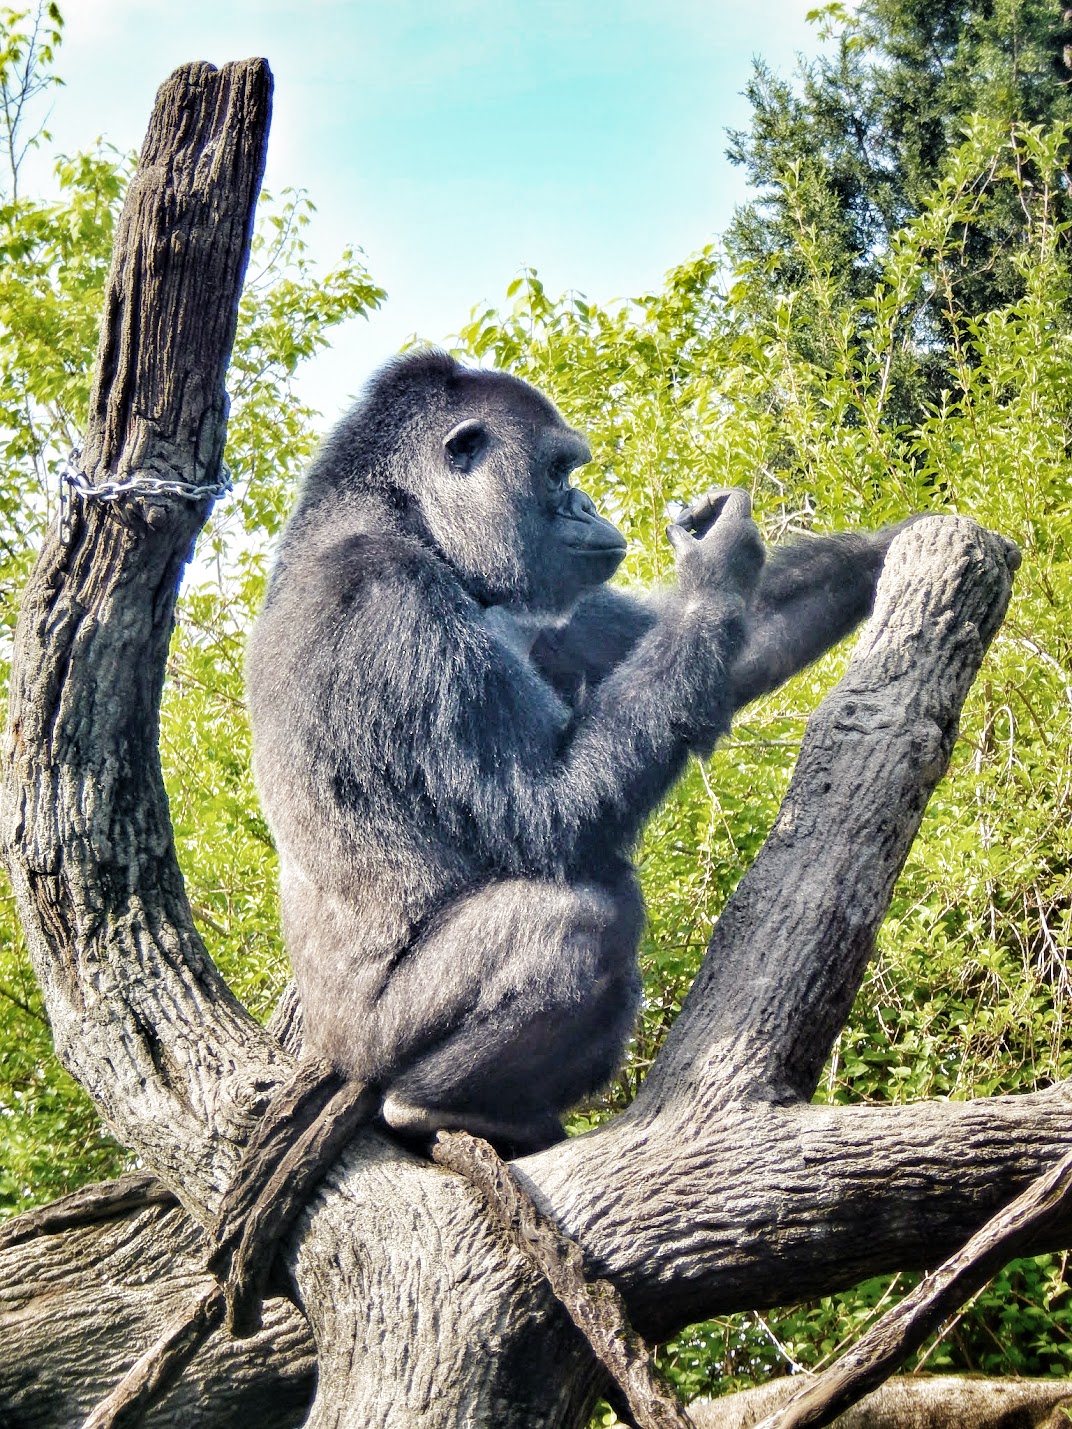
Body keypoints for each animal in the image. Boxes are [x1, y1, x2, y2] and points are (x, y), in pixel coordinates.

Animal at [246, 348, 907, 1159]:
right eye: (559, 472)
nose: (588, 505)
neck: (409, 515)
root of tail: (327, 1052)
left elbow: (732, 642)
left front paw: (903, 539)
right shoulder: (390, 600)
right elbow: (550, 814)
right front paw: (714, 572)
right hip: (370, 1046)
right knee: (582, 917)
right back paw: (430, 1104)